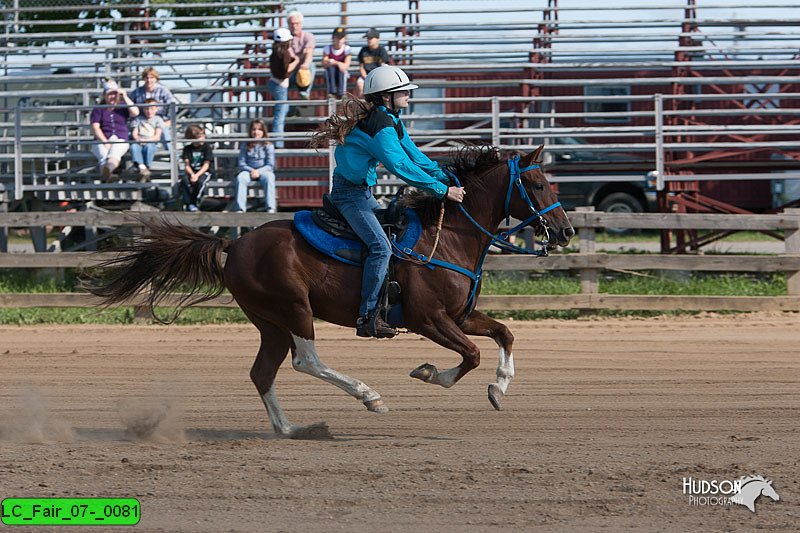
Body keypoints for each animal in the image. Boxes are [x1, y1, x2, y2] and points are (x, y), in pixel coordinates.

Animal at [84, 144, 576, 436]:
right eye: (536, 183)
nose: (566, 231)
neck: (448, 235)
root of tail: (234, 242)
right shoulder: (428, 319)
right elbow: (469, 355)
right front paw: (429, 373)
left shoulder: (460, 316)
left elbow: (504, 333)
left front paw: (499, 387)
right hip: (294, 309)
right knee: (306, 361)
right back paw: (369, 397)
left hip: (269, 322)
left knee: (262, 372)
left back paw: (289, 429)